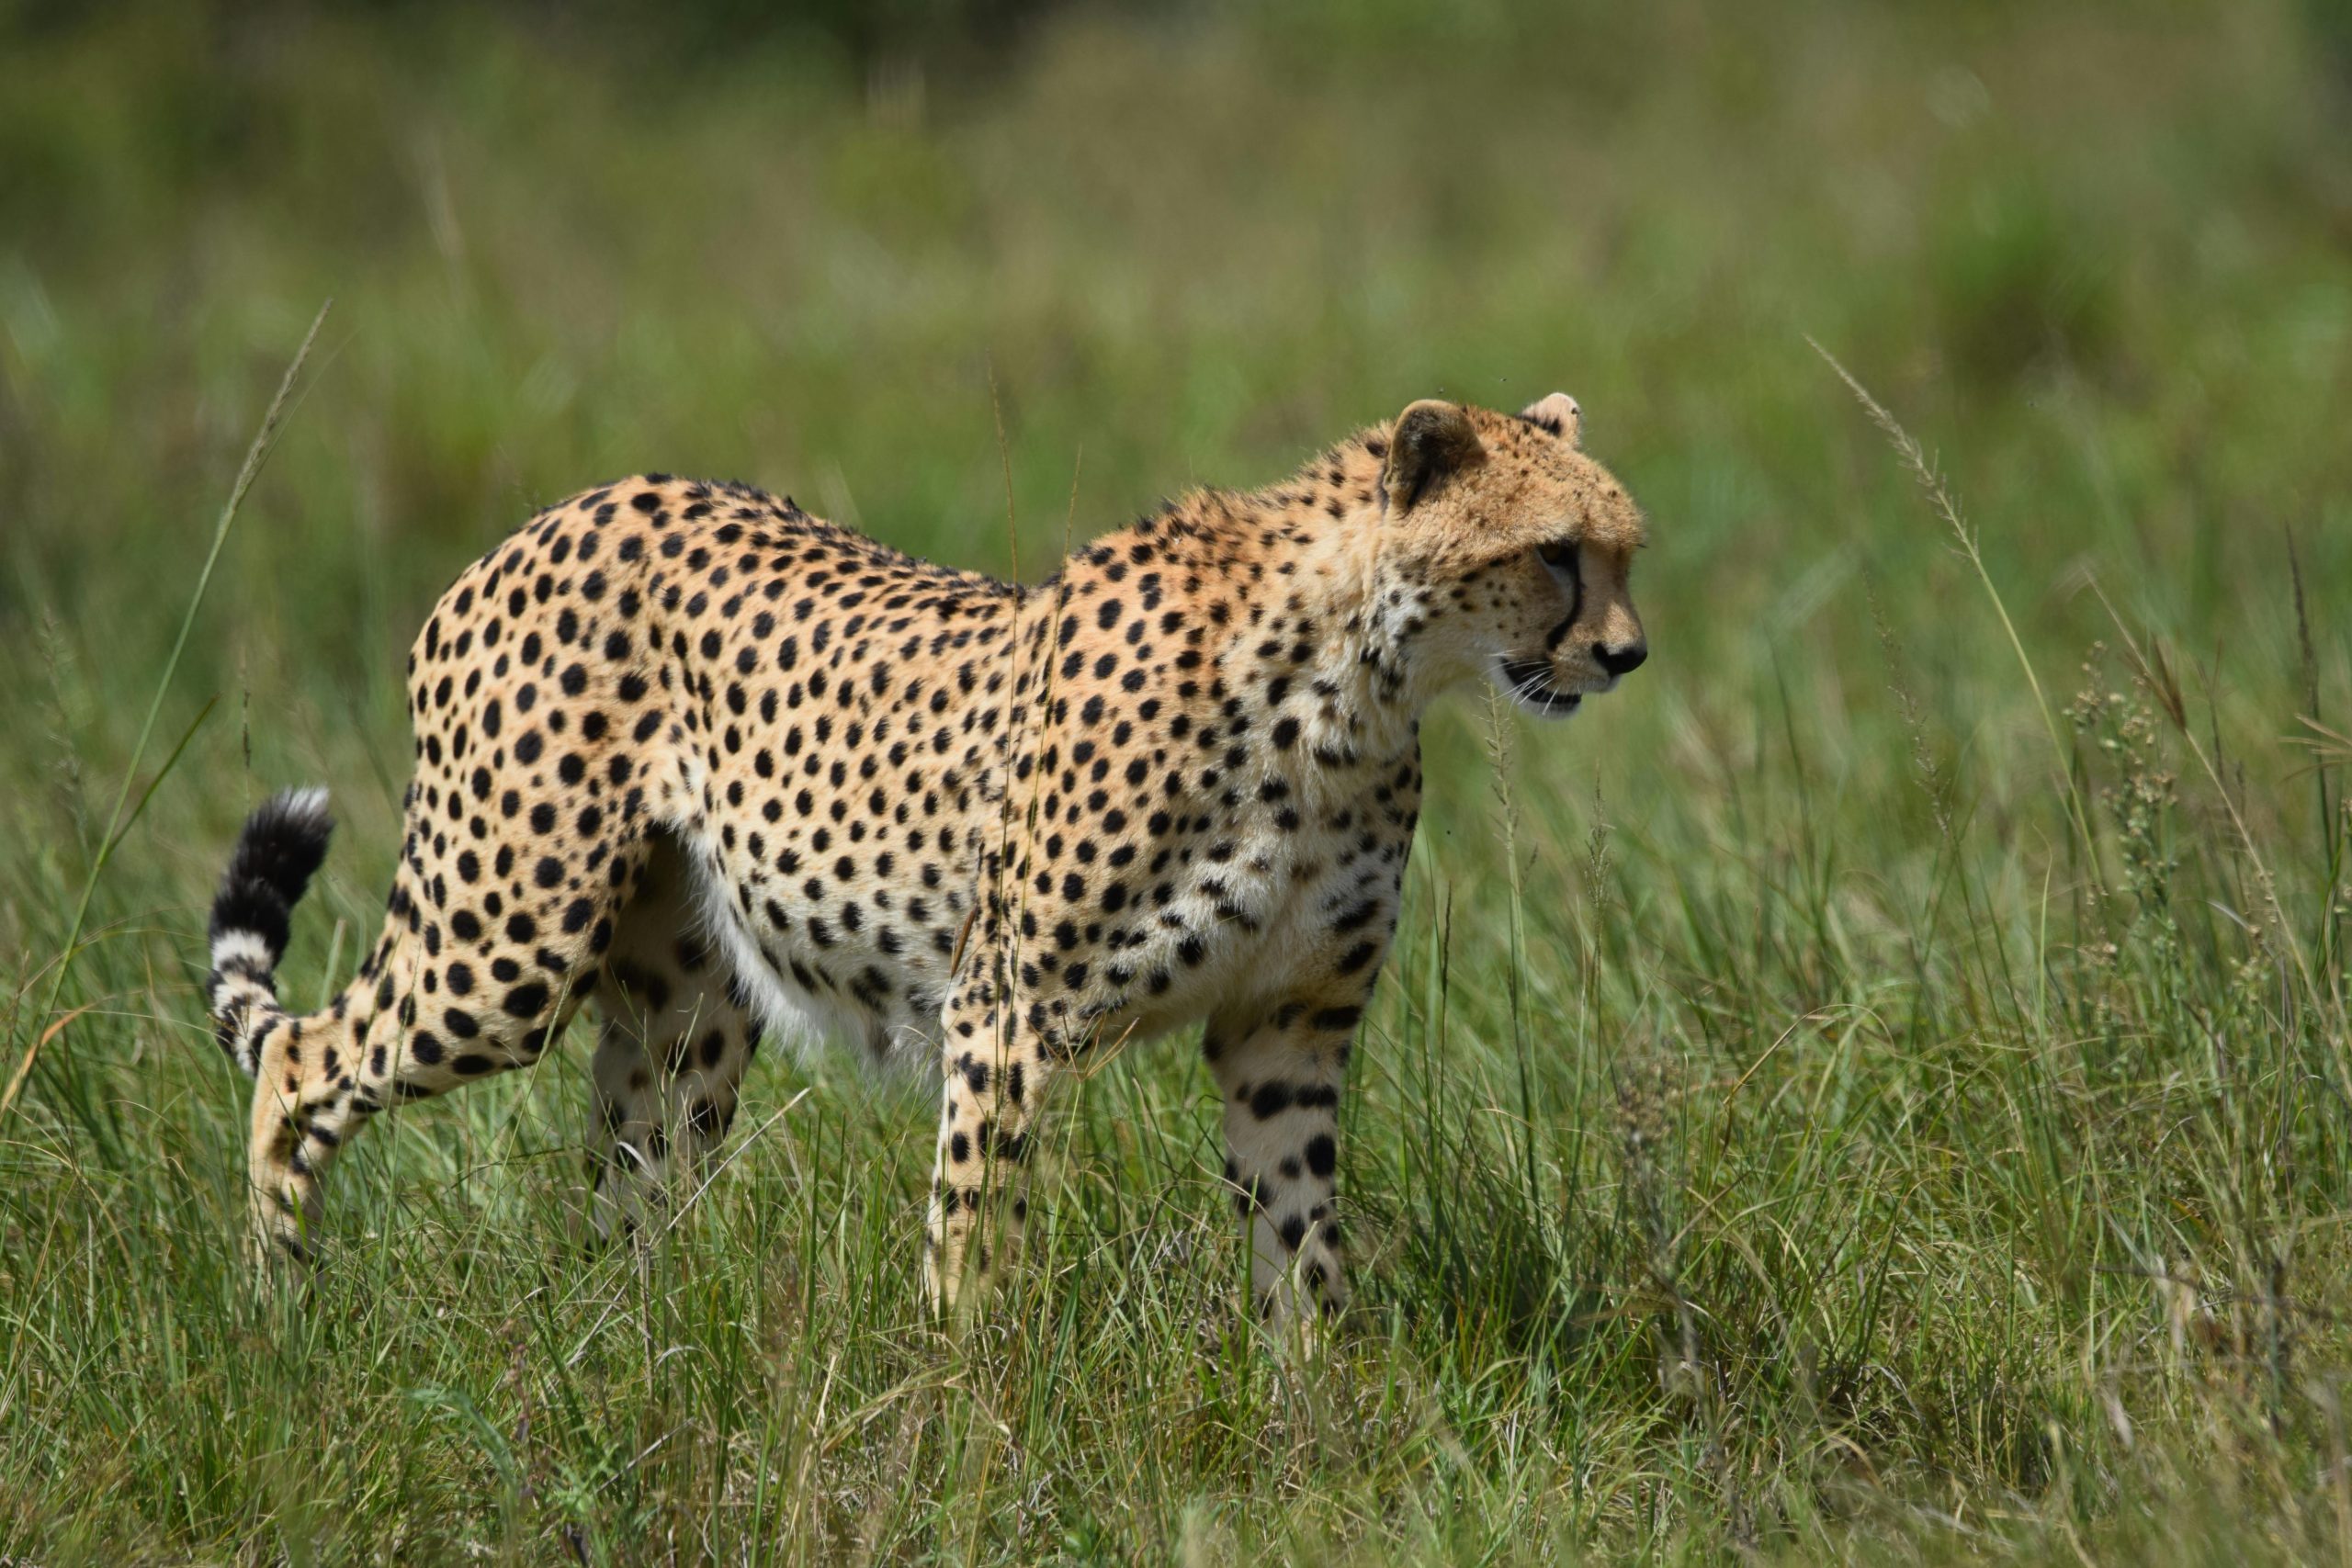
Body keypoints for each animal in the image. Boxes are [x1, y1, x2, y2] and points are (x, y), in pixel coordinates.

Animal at [202, 390, 1649, 1325]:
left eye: (1626, 554)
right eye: (1552, 554)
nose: (1628, 656)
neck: (1353, 683)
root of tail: (554, 513)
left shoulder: (1286, 1022)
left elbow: (1300, 1236)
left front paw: (1314, 1413)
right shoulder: (1008, 1011)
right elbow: (975, 1235)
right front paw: (968, 1416)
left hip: (683, 1007)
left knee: (628, 1182)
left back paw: (632, 1356)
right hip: (506, 947)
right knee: (299, 1061)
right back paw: (282, 1318)